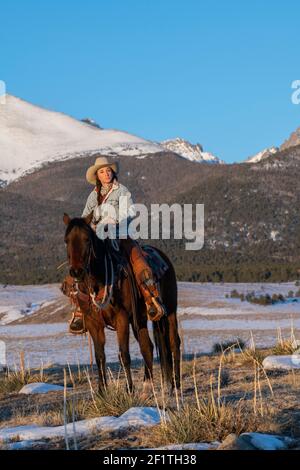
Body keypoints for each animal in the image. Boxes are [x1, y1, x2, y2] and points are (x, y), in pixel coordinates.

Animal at [61, 214, 180, 396]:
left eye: (87, 239)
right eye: (67, 240)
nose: (76, 272)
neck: (99, 280)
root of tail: (163, 258)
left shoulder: (121, 318)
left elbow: (124, 354)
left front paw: (129, 389)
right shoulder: (93, 323)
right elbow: (99, 356)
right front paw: (101, 391)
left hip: (170, 311)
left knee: (174, 344)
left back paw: (176, 386)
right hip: (140, 320)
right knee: (147, 346)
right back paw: (147, 388)